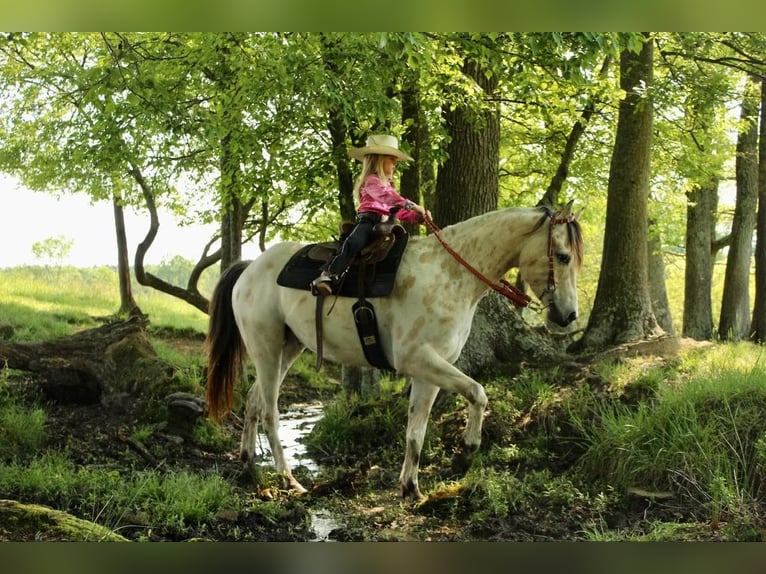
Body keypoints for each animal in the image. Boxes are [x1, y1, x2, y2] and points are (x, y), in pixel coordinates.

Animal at [207, 202, 584, 504]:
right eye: (563, 256)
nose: (569, 316)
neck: (451, 274)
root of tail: (249, 268)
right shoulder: (418, 360)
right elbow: (478, 392)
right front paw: (465, 454)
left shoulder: (431, 369)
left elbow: (416, 431)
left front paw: (411, 488)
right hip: (266, 348)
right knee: (270, 411)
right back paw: (289, 480)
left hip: (288, 348)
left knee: (254, 401)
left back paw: (250, 466)